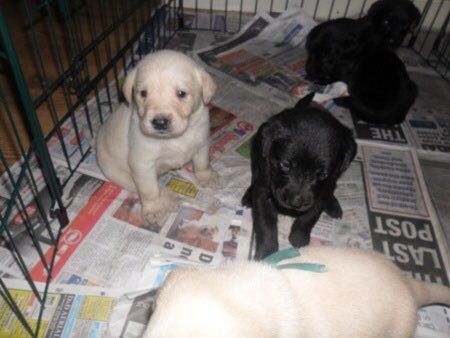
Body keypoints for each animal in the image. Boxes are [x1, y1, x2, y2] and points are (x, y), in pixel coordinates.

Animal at [96, 50, 218, 224]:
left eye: (181, 93)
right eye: (143, 93)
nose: (160, 122)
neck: (175, 137)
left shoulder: (201, 142)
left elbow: (202, 162)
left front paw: (206, 177)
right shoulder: (142, 163)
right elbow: (149, 190)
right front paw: (155, 208)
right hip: (115, 172)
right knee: (150, 187)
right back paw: (168, 199)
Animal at [241, 93, 356, 260]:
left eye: (322, 174)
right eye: (285, 165)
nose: (295, 202)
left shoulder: (320, 195)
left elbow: (309, 217)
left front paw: (299, 238)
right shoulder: (263, 192)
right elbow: (266, 225)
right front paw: (266, 256)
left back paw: (333, 205)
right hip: (256, 152)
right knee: (254, 176)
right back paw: (248, 195)